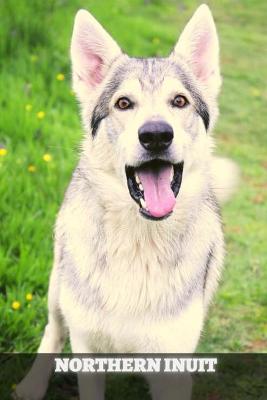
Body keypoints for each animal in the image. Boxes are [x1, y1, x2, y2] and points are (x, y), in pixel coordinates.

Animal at [15, 3, 240, 400]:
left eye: (179, 101)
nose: (156, 134)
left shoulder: (172, 368)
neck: (140, 242)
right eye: (123, 103)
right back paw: (32, 384)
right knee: (52, 330)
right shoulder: (87, 348)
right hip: (58, 288)